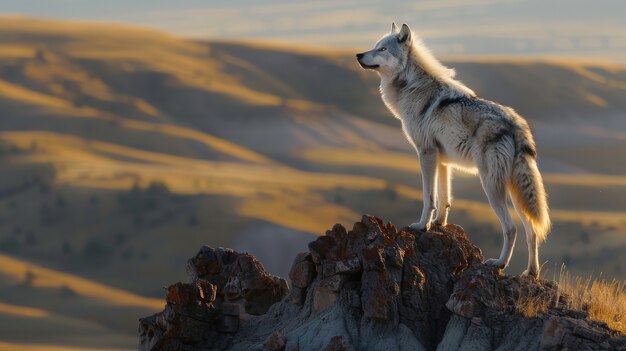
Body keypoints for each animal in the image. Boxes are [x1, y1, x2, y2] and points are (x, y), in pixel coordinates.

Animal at [354, 22, 548, 278]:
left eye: (383, 49)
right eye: (375, 46)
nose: (358, 55)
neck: (412, 86)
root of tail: (516, 124)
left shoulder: (426, 153)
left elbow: (429, 197)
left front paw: (421, 225)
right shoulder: (443, 161)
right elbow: (444, 198)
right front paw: (439, 224)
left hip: (492, 187)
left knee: (511, 228)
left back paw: (499, 264)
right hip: (515, 193)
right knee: (532, 231)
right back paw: (531, 273)